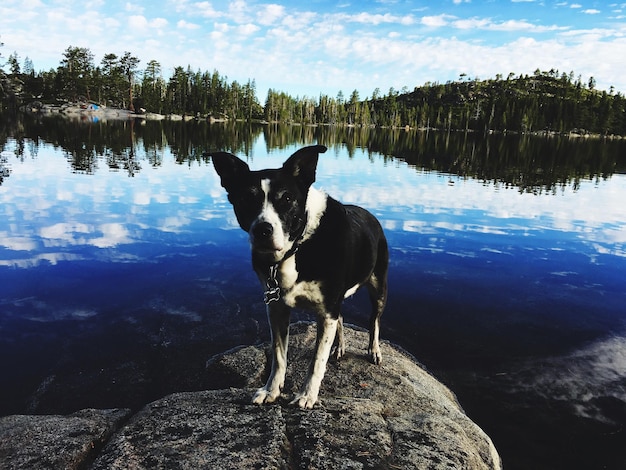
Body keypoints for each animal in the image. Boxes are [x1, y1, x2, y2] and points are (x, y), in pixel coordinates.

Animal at [207, 146, 388, 408]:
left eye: (287, 198)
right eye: (246, 199)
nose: (263, 230)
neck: (297, 247)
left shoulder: (327, 310)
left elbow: (317, 360)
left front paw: (306, 395)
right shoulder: (277, 308)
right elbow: (279, 356)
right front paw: (270, 390)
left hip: (378, 285)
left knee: (374, 321)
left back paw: (373, 350)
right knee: (342, 318)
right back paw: (340, 347)